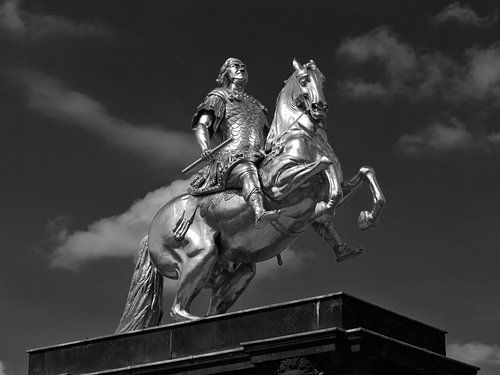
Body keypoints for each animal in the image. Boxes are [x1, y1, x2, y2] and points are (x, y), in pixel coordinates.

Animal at [115, 58, 384, 334]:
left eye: (323, 79)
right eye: (303, 80)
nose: (319, 107)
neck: (299, 136)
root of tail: (151, 229)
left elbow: (364, 173)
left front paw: (365, 218)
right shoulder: (278, 186)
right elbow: (323, 167)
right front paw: (325, 205)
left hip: (235, 271)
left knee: (213, 308)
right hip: (200, 254)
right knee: (178, 309)